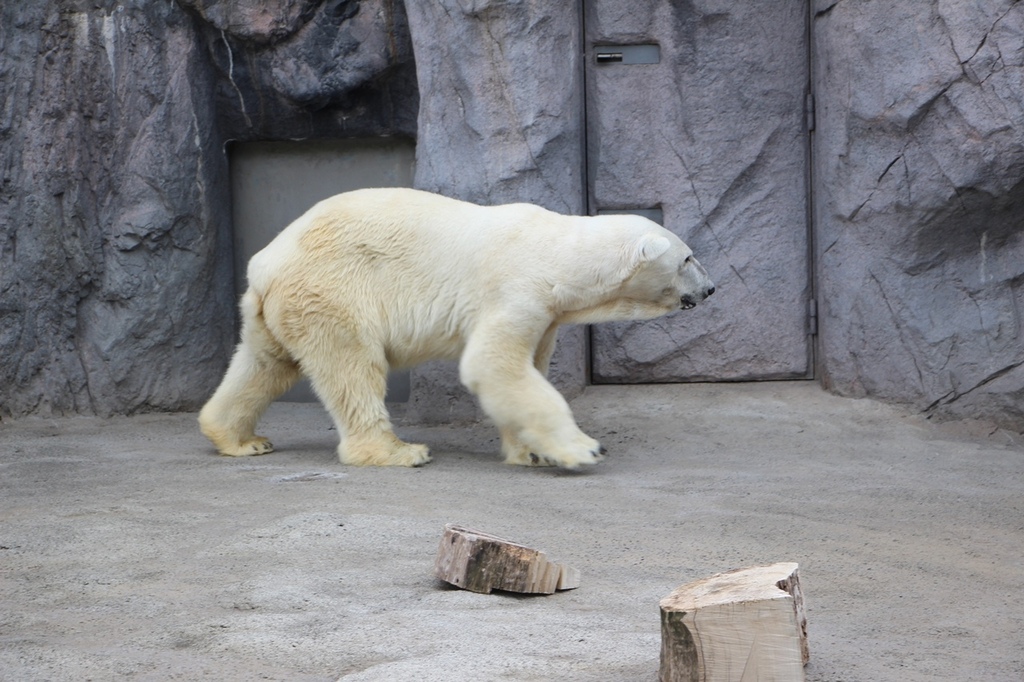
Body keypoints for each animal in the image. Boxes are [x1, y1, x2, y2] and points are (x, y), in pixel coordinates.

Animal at [197, 186, 712, 466]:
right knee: (352, 368)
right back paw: (398, 451)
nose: (710, 289)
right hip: (334, 292)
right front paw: (582, 449)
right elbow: (493, 365)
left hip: (278, 308)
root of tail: (266, 262)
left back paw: (240, 439)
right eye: (688, 257)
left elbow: (526, 369)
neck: (559, 257)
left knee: (264, 364)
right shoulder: (516, 289)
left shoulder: (547, 312)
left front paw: (530, 451)